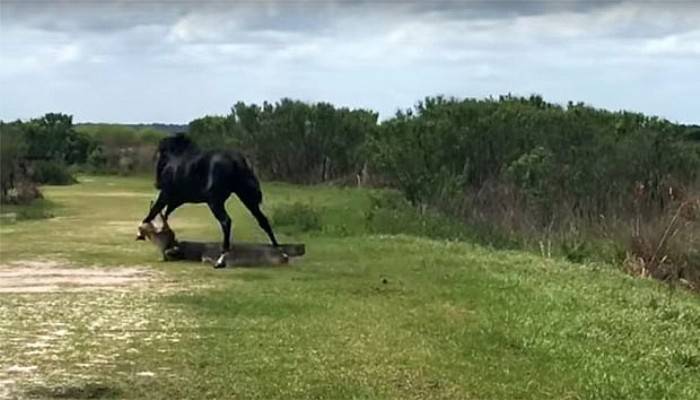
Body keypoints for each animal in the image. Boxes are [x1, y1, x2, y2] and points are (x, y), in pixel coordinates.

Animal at [137, 134, 278, 268]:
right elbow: (164, 215)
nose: (157, 184)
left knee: (226, 222)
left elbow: (153, 213)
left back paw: (220, 261)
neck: (176, 160)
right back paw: (278, 250)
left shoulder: (165, 195)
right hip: (246, 198)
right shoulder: (178, 200)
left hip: (215, 202)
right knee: (263, 220)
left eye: (160, 155)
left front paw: (142, 233)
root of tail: (236, 161)